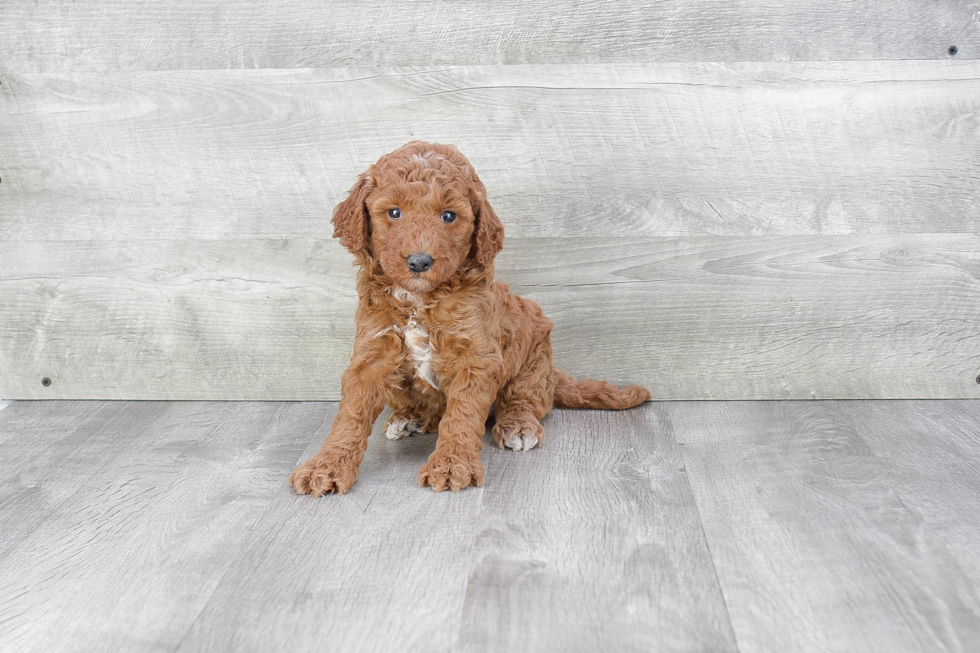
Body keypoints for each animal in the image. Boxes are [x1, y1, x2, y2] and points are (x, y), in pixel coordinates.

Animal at [288, 139, 648, 494]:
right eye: (394, 212)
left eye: (449, 216)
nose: (419, 261)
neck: (420, 299)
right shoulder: (373, 352)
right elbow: (351, 415)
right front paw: (327, 466)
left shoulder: (474, 358)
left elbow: (461, 415)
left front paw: (451, 466)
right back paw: (408, 418)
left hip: (533, 359)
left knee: (524, 399)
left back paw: (517, 425)